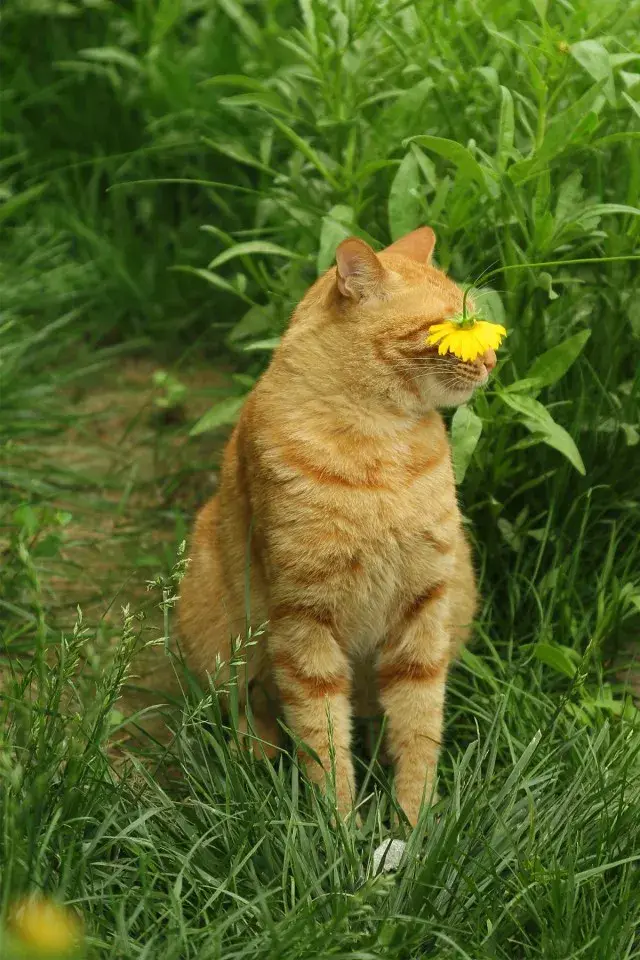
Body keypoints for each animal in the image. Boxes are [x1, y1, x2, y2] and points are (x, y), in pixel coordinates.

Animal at [180, 227, 496, 824]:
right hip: (216, 633)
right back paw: (254, 755)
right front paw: (340, 827)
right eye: (451, 325)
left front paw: (416, 823)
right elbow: (322, 736)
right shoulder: (302, 617)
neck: (378, 446)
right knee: (246, 707)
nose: (491, 359)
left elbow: (419, 727)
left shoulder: (424, 605)